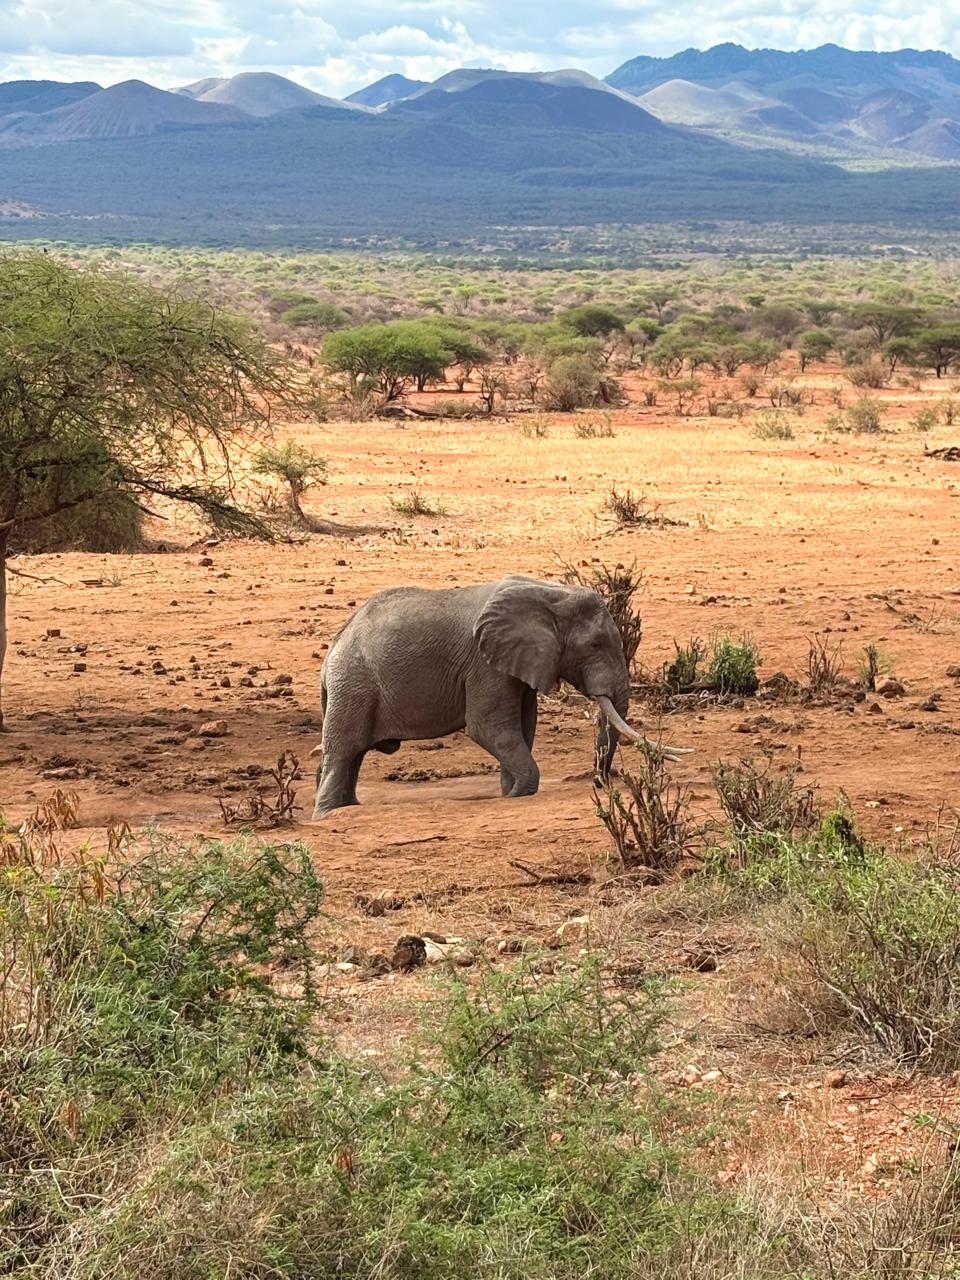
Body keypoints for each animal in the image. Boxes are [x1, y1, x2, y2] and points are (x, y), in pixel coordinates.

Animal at [311, 574, 689, 817]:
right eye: (594, 645)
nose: (600, 783)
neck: (550, 593)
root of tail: (332, 650)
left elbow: (524, 725)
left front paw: (510, 792)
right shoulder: (484, 664)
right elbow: (488, 727)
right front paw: (521, 791)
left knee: (353, 756)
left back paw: (346, 808)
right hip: (353, 685)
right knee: (343, 751)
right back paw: (326, 815)